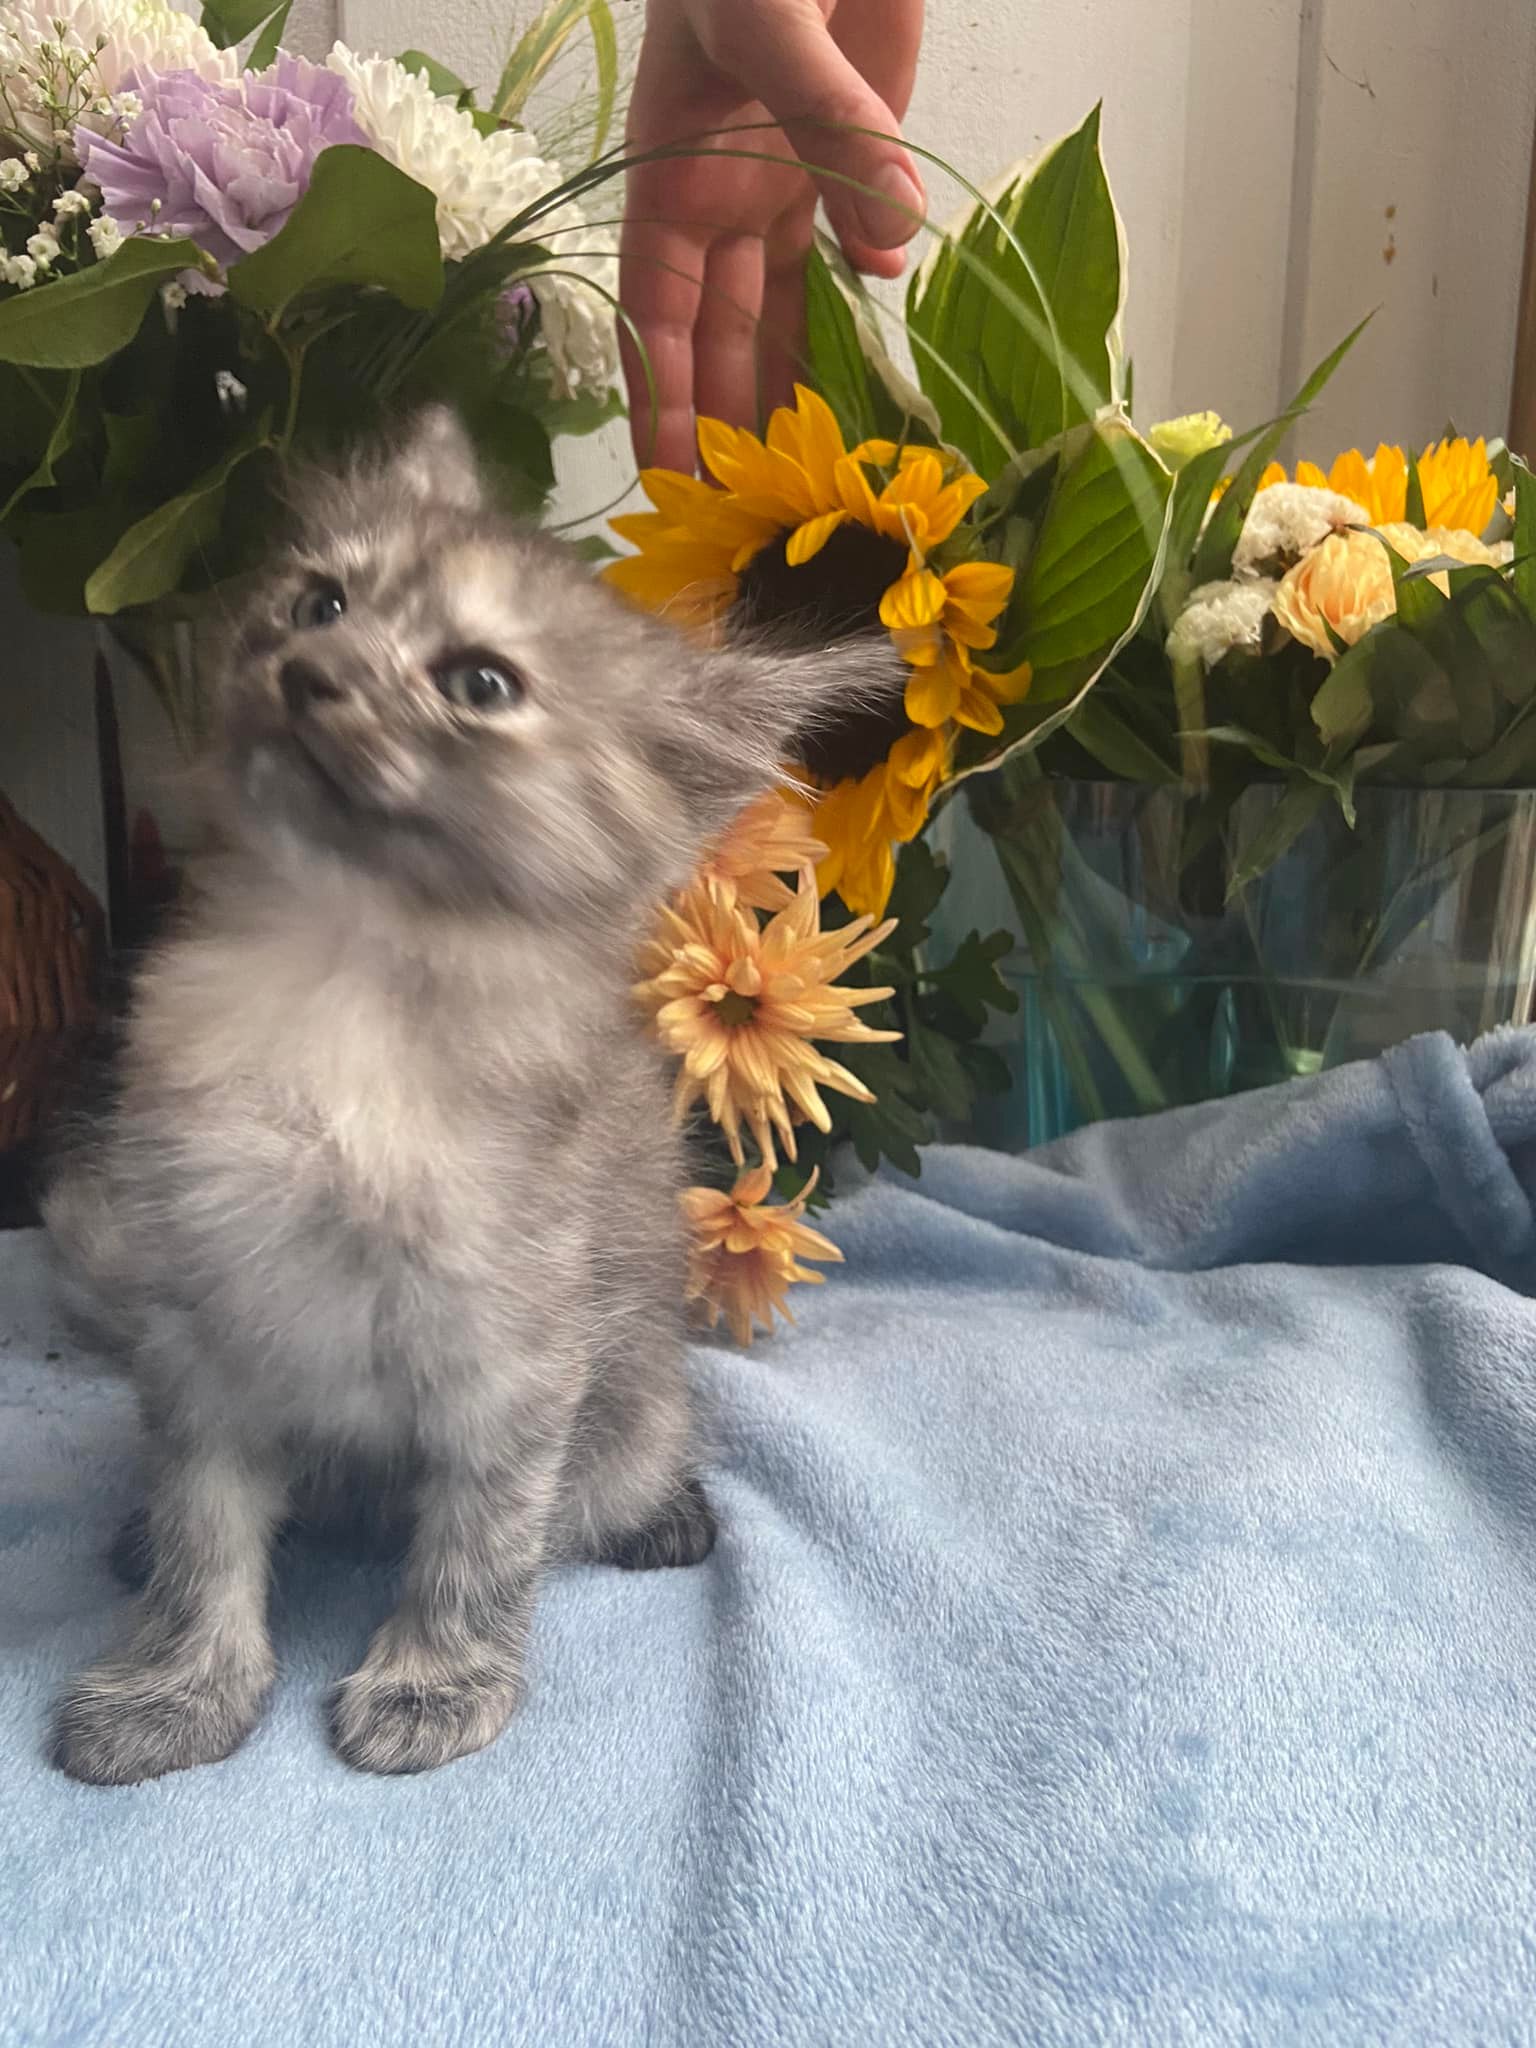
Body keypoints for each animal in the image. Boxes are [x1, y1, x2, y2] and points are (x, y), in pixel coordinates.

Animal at [44, 406, 896, 1783]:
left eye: (480, 684)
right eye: (319, 600)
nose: (310, 670)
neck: (339, 981)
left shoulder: (514, 1347)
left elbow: (482, 1538)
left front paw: (435, 1679)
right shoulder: (202, 1324)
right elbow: (201, 1536)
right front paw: (179, 1684)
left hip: (627, 1414)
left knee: (614, 1480)